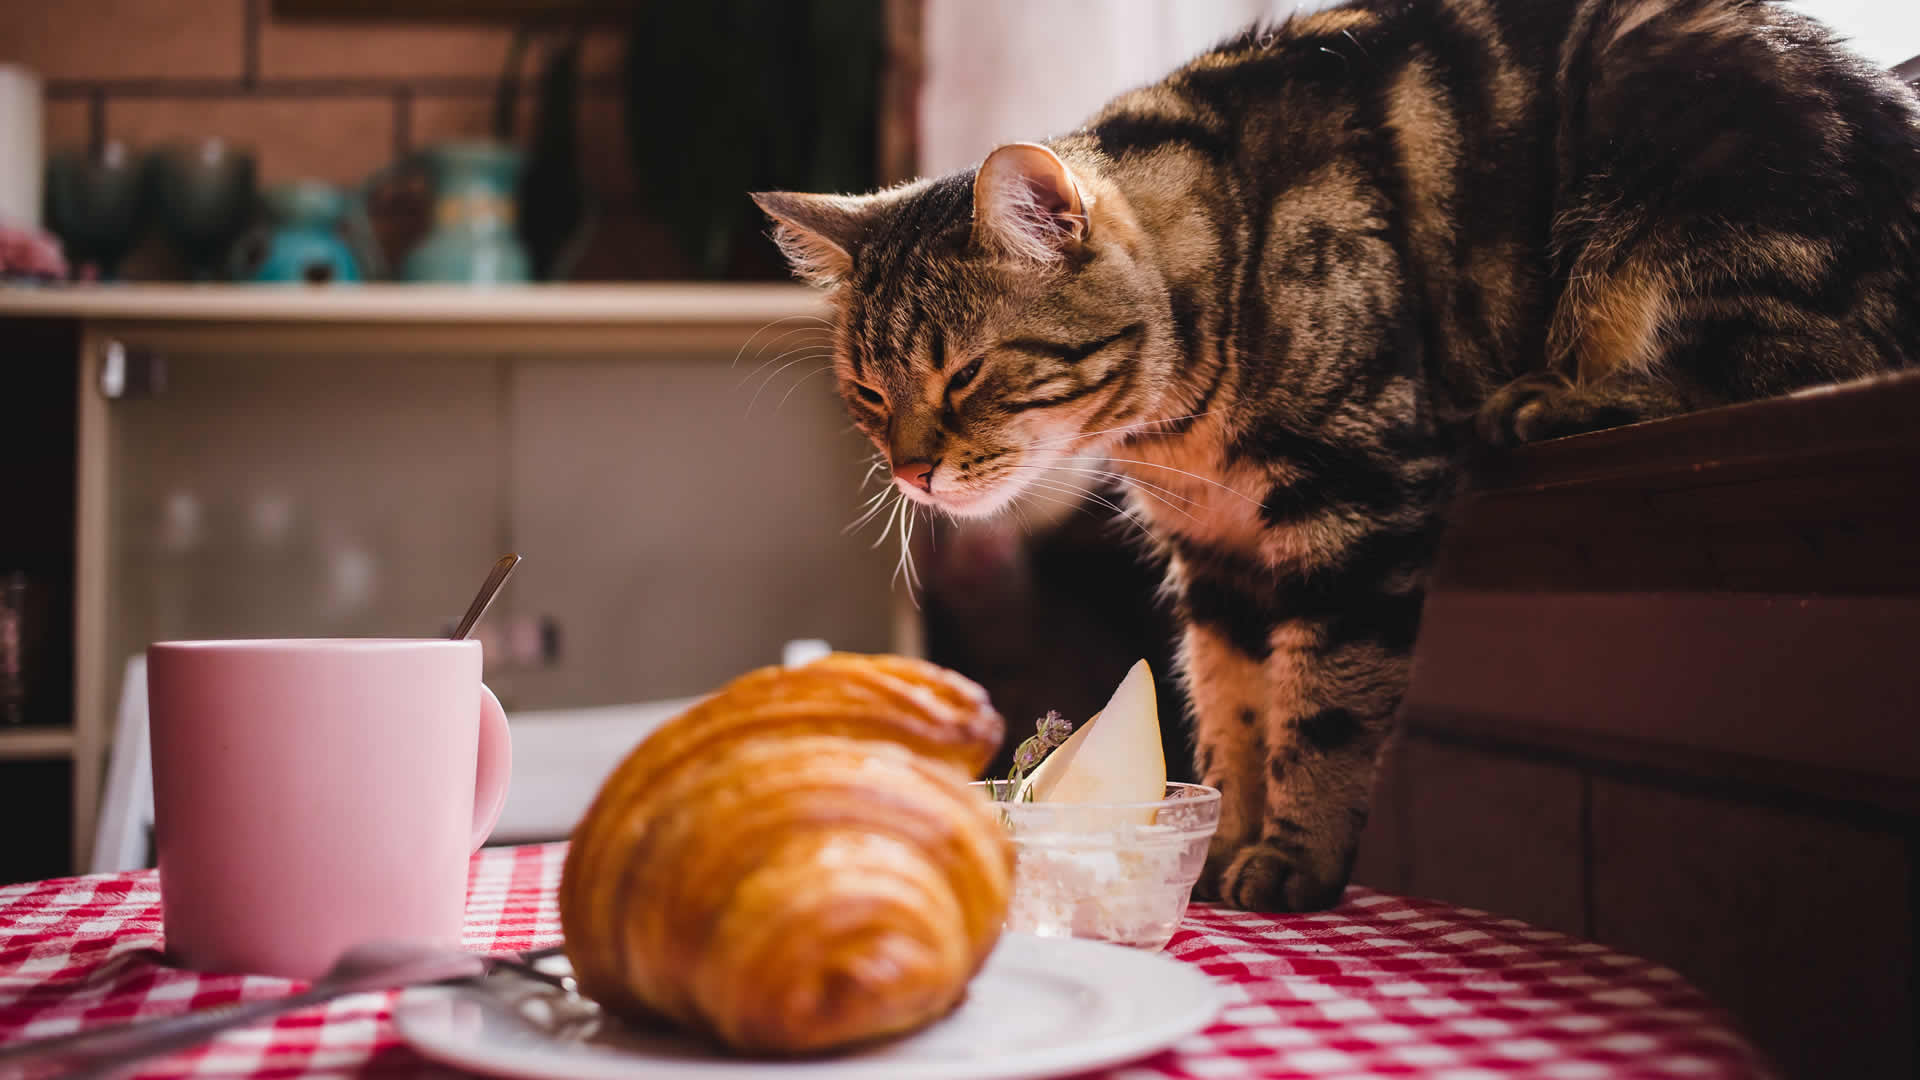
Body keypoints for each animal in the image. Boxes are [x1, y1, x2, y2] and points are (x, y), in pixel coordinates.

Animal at [748, 0, 1920, 907]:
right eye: (870, 393)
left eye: (964, 375)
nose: (910, 470)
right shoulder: (1217, 558)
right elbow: (1232, 709)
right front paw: (1211, 840)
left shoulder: (1356, 501)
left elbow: (1325, 709)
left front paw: (1288, 860)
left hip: (1680, 177)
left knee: (1787, 354)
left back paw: (1552, 402)